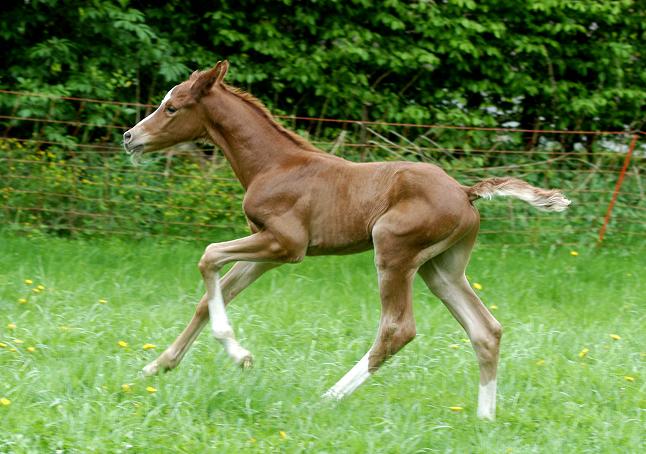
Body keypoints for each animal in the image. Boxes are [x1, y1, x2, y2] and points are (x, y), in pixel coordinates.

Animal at [124, 61, 568, 422]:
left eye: (172, 107)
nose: (130, 137)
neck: (274, 164)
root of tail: (465, 191)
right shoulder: (267, 248)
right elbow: (212, 293)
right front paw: (157, 366)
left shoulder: (286, 245)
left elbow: (208, 255)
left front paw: (240, 355)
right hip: (441, 268)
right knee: (485, 329)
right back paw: (484, 417)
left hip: (392, 248)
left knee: (397, 329)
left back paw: (329, 397)